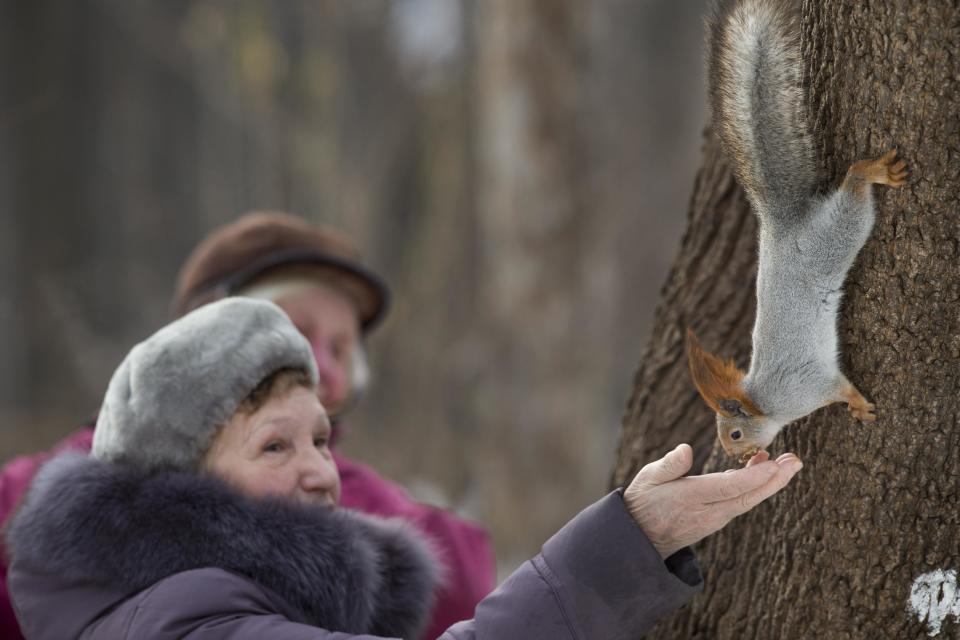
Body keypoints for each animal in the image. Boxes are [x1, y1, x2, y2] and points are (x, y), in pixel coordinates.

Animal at [688, 0, 904, 462]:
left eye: (735, 434)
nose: (739, 459)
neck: (767, 402)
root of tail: (782, 226)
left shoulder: (807, 385)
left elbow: (840, 386)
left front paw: (857, 405)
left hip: (836, 235)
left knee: (854, 190)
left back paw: (870, 171)